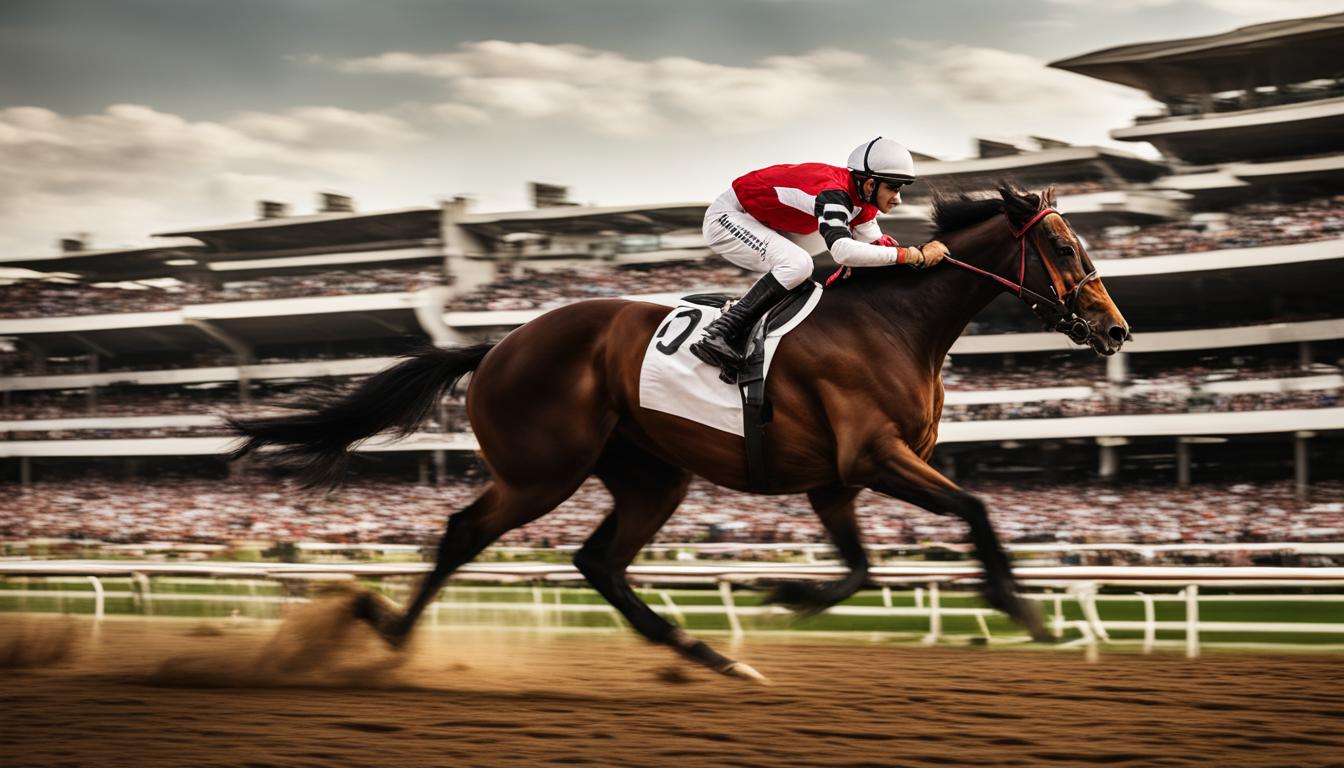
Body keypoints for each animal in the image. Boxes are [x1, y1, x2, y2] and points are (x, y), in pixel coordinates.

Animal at [227, 184, 1130, 683]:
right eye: (1060, 245)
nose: (1114, 329)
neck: (894, 323)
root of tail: (501, 343)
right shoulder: (875, 457)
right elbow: (975, 510)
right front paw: (1023, 611)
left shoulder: (835, 478)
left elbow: (859, 569)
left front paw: (784, 594)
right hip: (540, 470)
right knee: (460, 535)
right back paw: (388, 634)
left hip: (651, 474)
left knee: (598, 563)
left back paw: (710, 654)